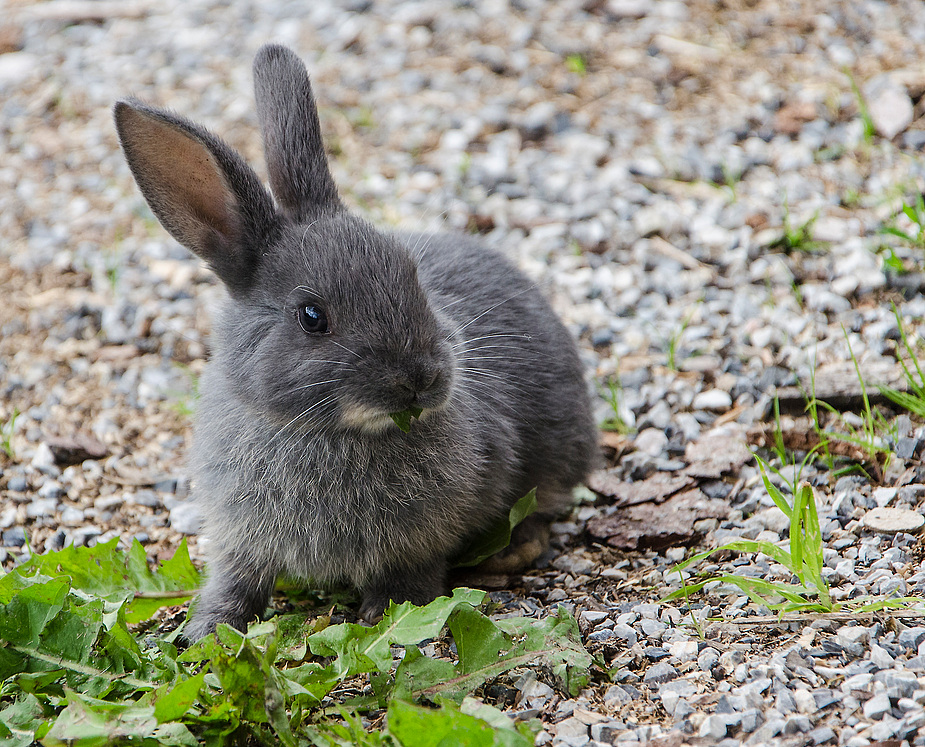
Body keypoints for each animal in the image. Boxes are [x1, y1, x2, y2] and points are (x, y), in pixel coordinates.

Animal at [113, 43, 600, 640]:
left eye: (413, 277)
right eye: (312, 316)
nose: (422, 378)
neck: (330, 431)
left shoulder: (423, 539)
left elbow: (413, 574)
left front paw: (387, 613)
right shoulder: (238, 537)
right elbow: (235, 579)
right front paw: (208, 630)